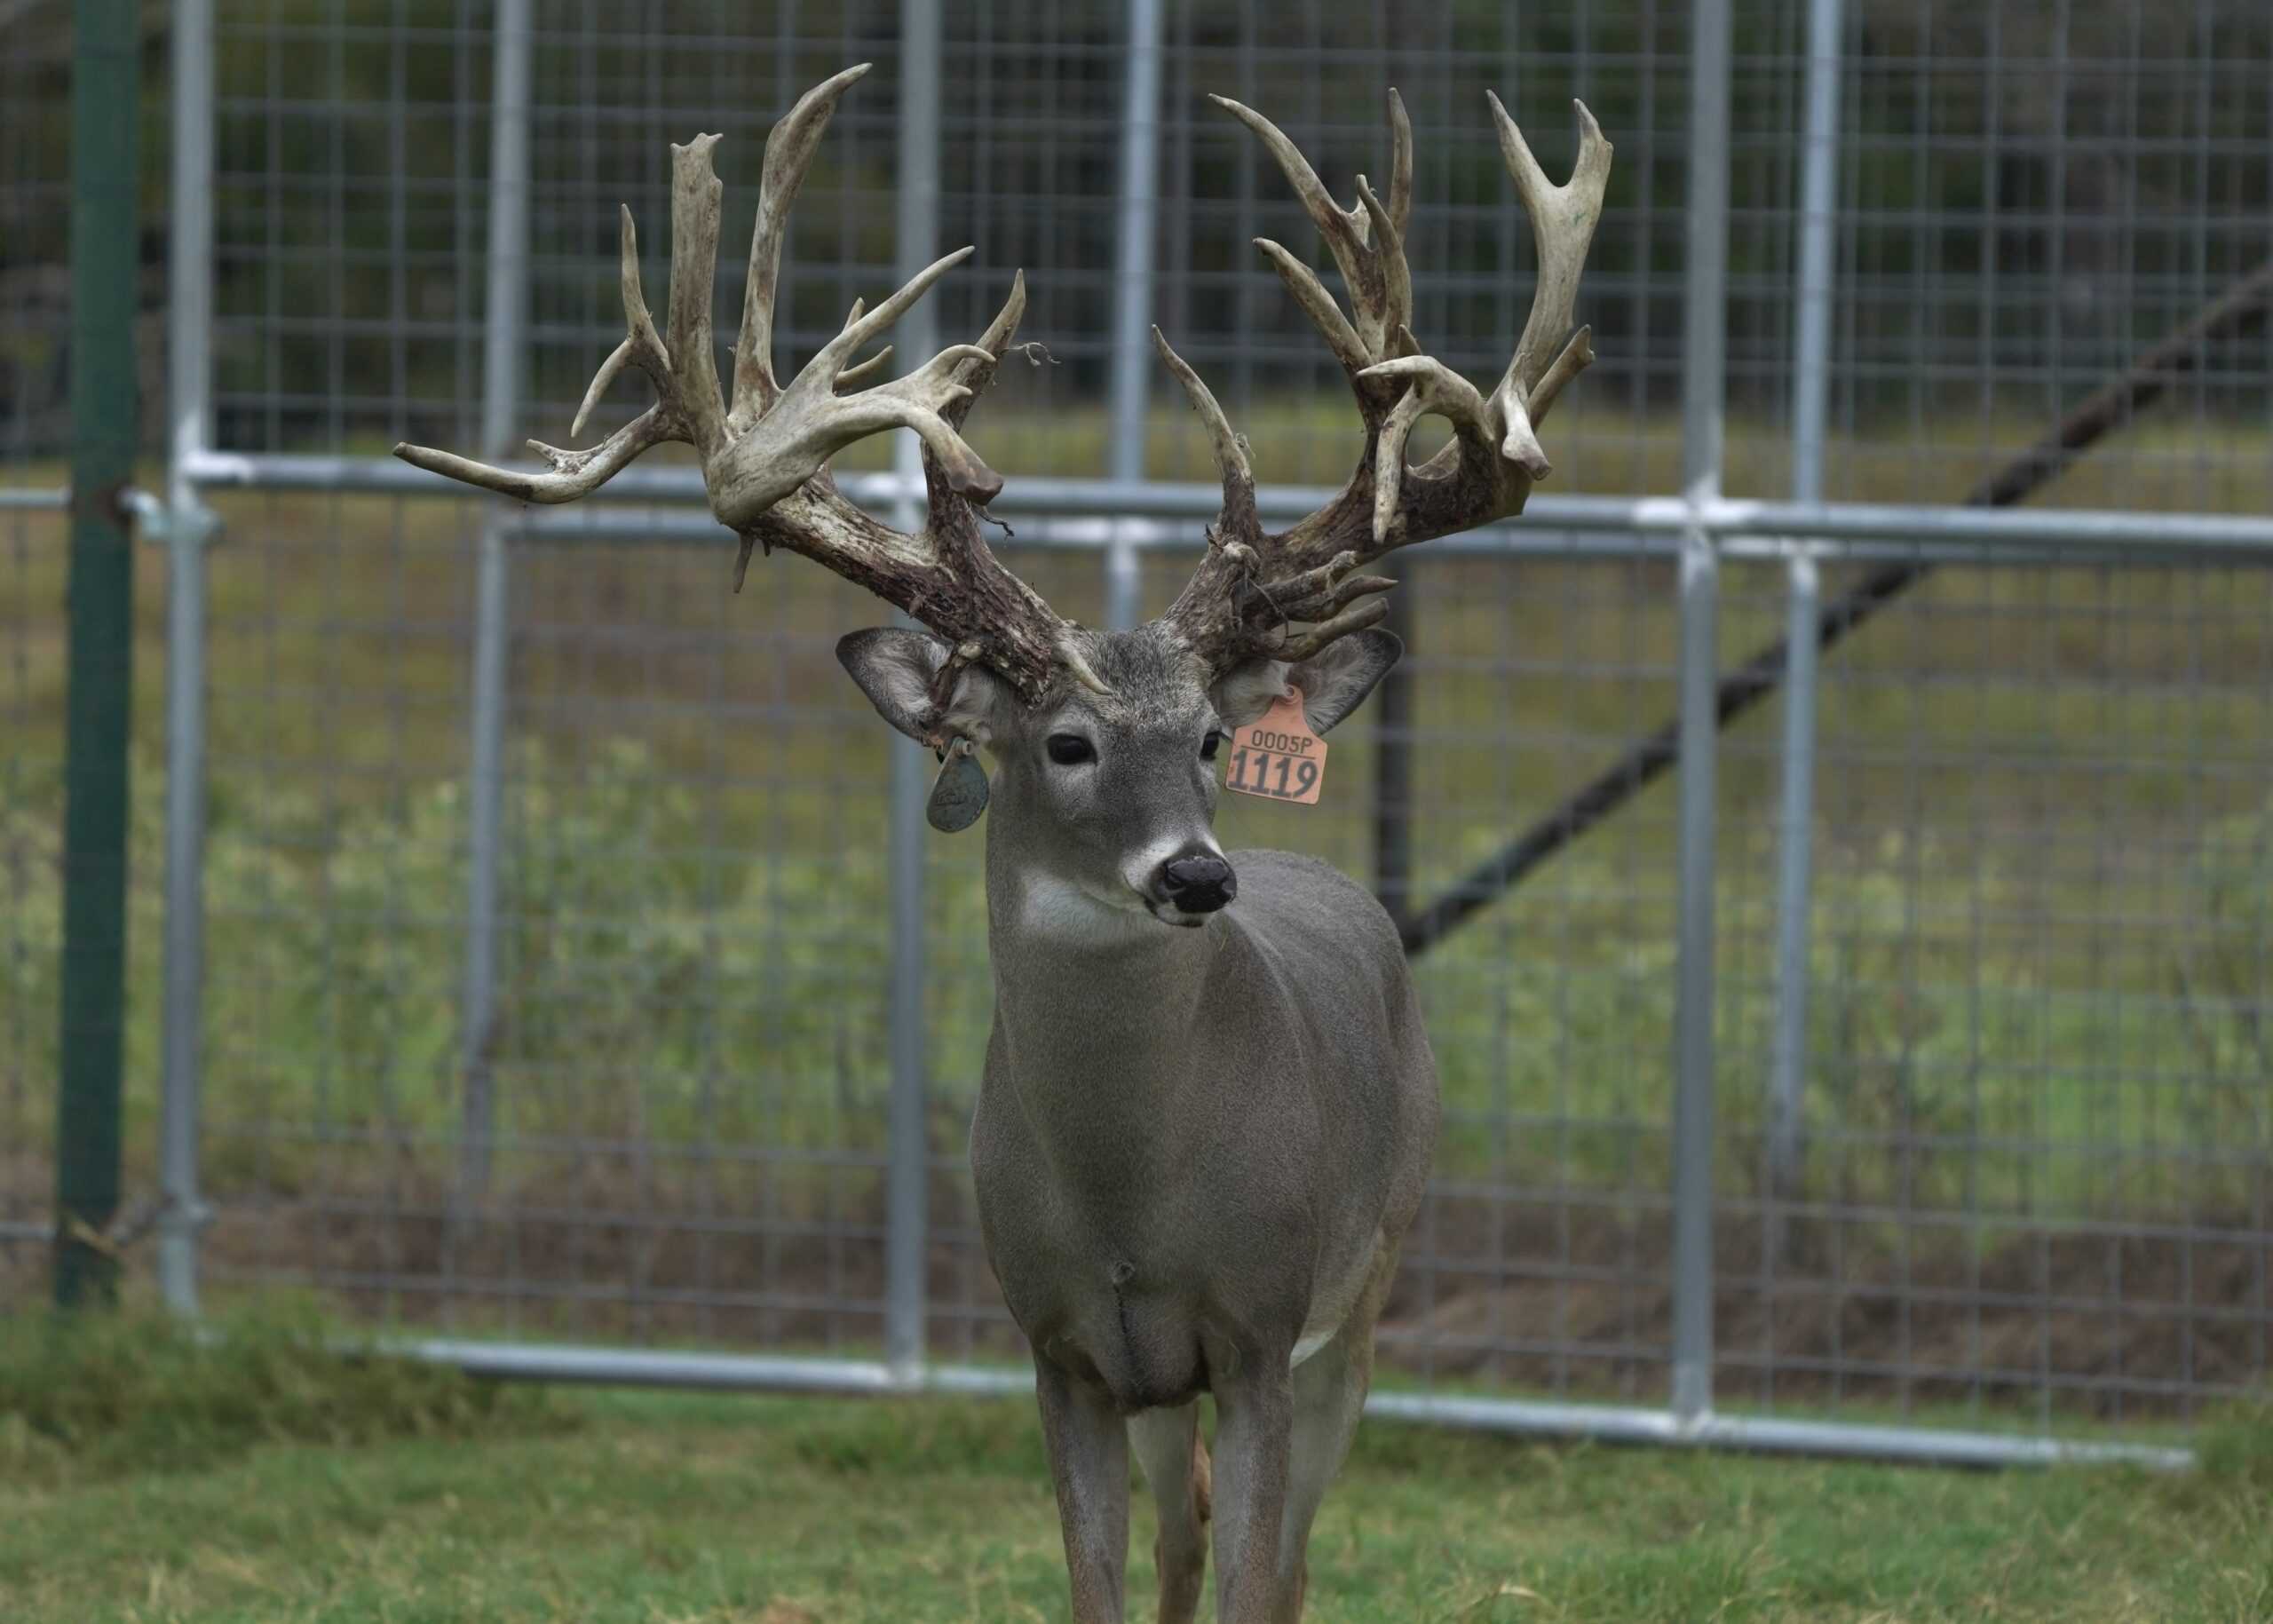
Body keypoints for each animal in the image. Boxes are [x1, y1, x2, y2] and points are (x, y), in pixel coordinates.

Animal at [395, 62, 1609, 1624]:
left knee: (1281, 1559)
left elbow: (1260, 1575)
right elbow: (1103, 1581)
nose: (1198, 871)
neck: (1130, 1199)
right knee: (1183, 1530)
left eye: (1209, 741)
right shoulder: (1058, 1346)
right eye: (1065, 744)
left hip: (1374, 1274)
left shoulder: (1262, 1330)